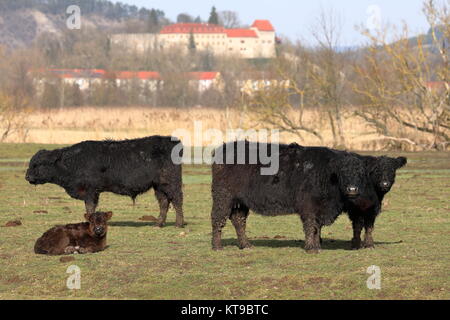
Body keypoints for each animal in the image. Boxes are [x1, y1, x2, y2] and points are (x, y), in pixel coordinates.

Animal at [25, 135, 185, 228]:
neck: (72, 162)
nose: (27, 177)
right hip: (158, 186)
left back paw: (179, 224)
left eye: (39, 164)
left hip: (170, 182)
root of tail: (171, 139)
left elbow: (89, 208)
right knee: (164, 202)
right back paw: (158, 223)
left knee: (177, 200)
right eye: (31, 162)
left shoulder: (90, 191)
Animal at [211, 141, 376, 254]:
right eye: (343, 173)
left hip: (240, 202)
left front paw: (317, 246)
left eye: (361, 174)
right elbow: (311, 226)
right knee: (218, 219)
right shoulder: (309, 206)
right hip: (223, 197)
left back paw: (246, 245)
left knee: (239, 220)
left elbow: (317, 227)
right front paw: (311, 248)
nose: (352, 189)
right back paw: (217, 246)